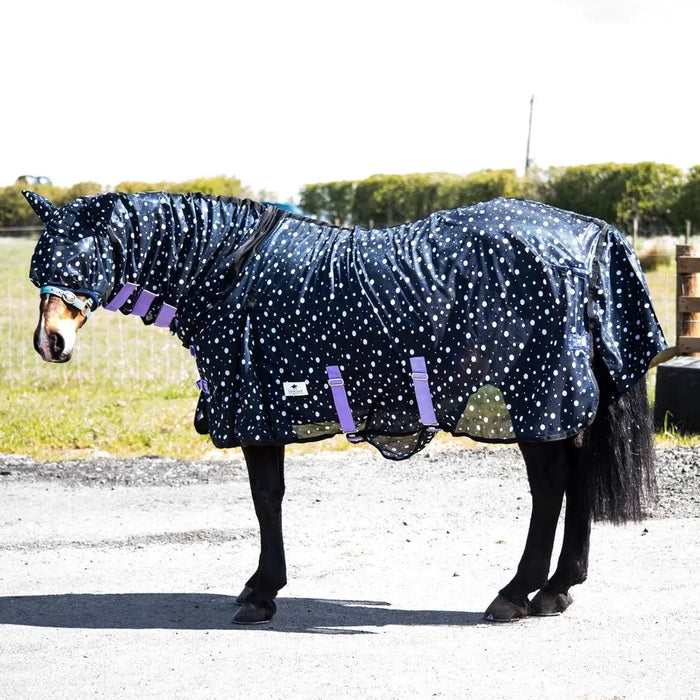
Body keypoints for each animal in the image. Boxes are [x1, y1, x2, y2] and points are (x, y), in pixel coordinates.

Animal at [25, 189, 666, 624]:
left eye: (74, 262)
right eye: (38, 268)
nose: (49, 341)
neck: (233, 270)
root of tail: (593, 234)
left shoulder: (258, 414)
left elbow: (266, 498)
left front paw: (262, 592)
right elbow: (269, 497)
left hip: (533, 398)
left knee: (552, 483)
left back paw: (517, 592)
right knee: (578, 477)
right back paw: (558, 587)